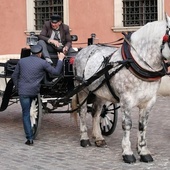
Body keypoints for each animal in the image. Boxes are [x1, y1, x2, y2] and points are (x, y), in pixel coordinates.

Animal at [72, 14, 170, 163]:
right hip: (82, 88)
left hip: (100, 92)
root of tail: (84, 50)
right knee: (82, 111)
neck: (137, 62)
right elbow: (127, 124)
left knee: (96, 112)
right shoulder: (126, 100)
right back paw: (84, 138)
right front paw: (127, 152)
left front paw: (143, 151)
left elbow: (143, 125)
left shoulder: (149, 102)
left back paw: (99, 137)